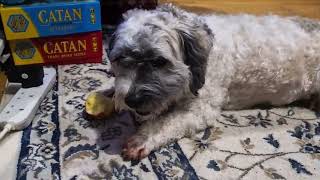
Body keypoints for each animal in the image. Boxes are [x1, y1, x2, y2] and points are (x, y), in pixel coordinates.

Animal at [105, 3, 320, 160]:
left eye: (159, 61)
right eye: (120, 58)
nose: (131, 99)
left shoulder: (200, 108)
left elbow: (165, 122)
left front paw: (142, 138)